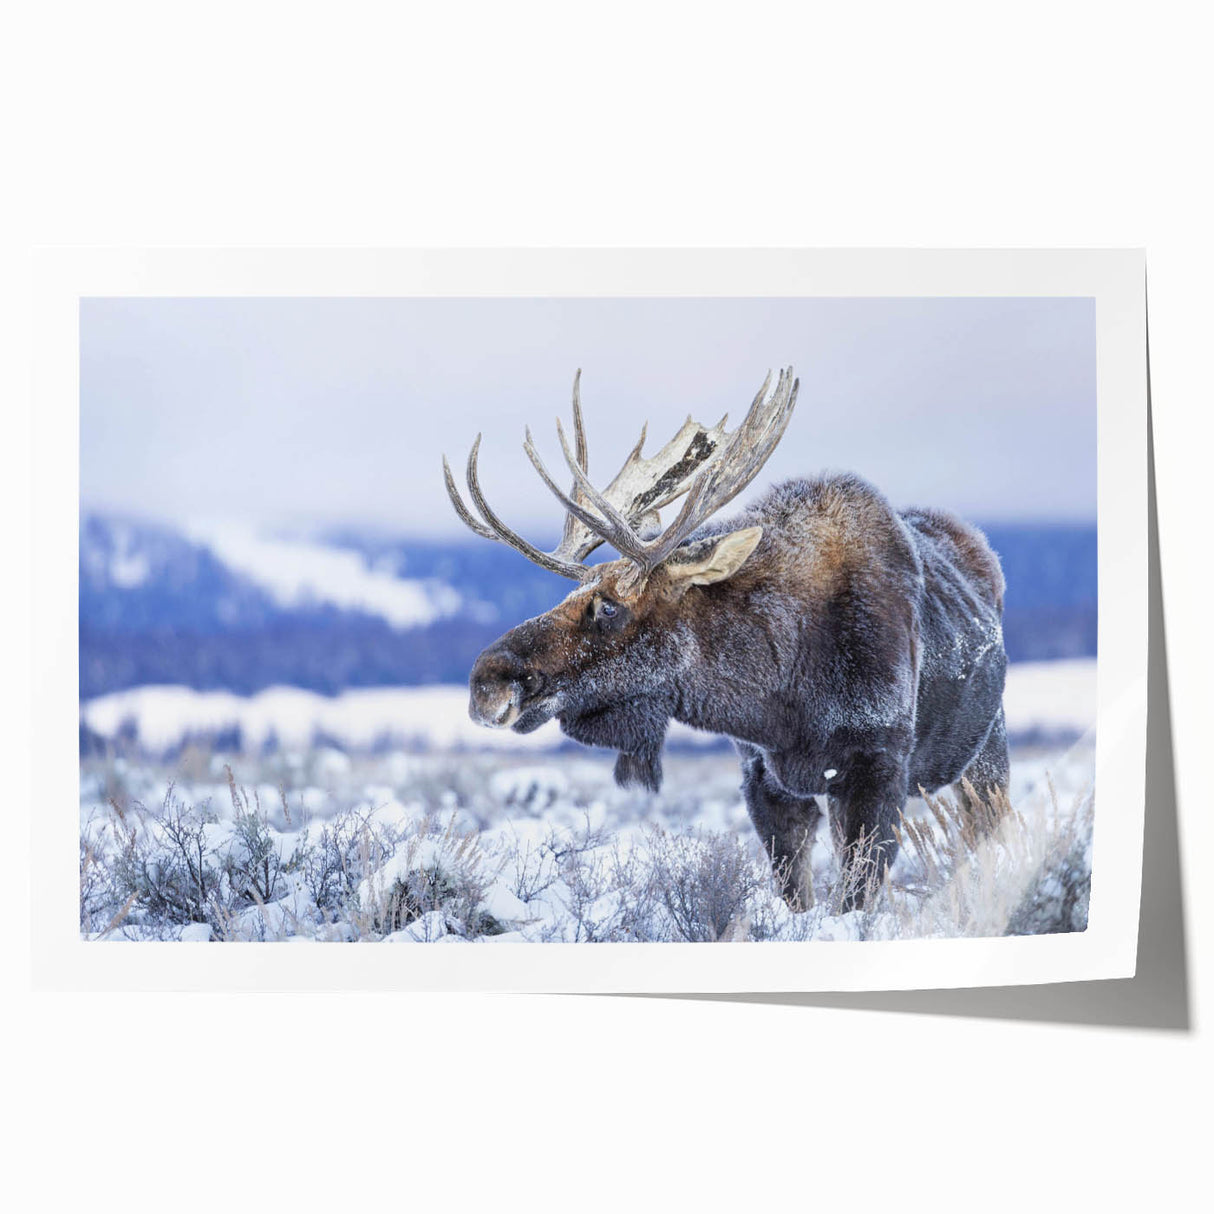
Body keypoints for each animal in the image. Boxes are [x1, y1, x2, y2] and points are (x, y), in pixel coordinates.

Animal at [443, 368, 1009, 910]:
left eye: (608, 606)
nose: (486, 682)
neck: (781, 696)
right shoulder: (762, 777)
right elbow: (798, 897)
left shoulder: (877, 767)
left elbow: (855, 898)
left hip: (987, 753)